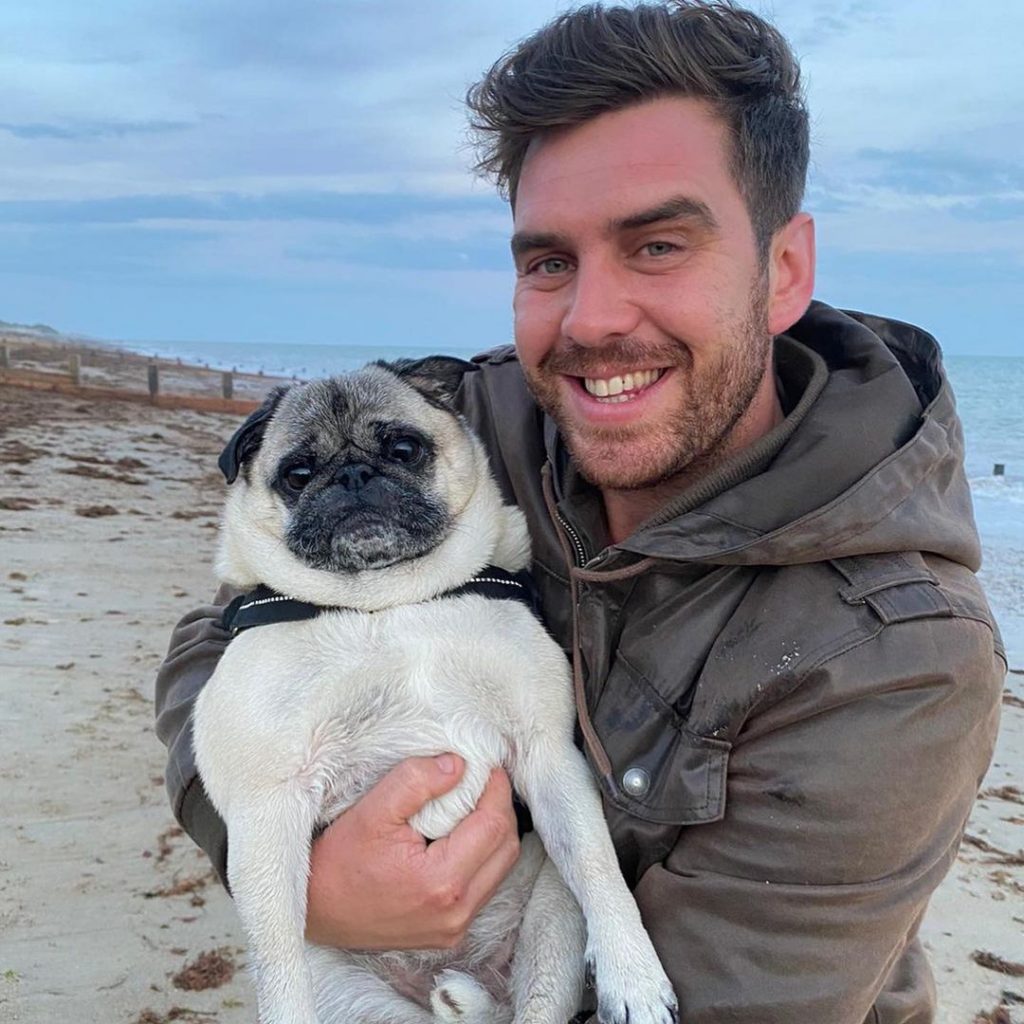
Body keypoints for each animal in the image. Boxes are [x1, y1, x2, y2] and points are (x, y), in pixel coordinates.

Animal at [192, 356, 677, 1024]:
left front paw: (634, 974)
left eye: (403, 449)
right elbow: (278, 964)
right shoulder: (267, 808)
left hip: (552, 920)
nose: (353, 475)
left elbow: (600, 867)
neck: (391, 601)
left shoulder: (548, 757)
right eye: (297, 474)